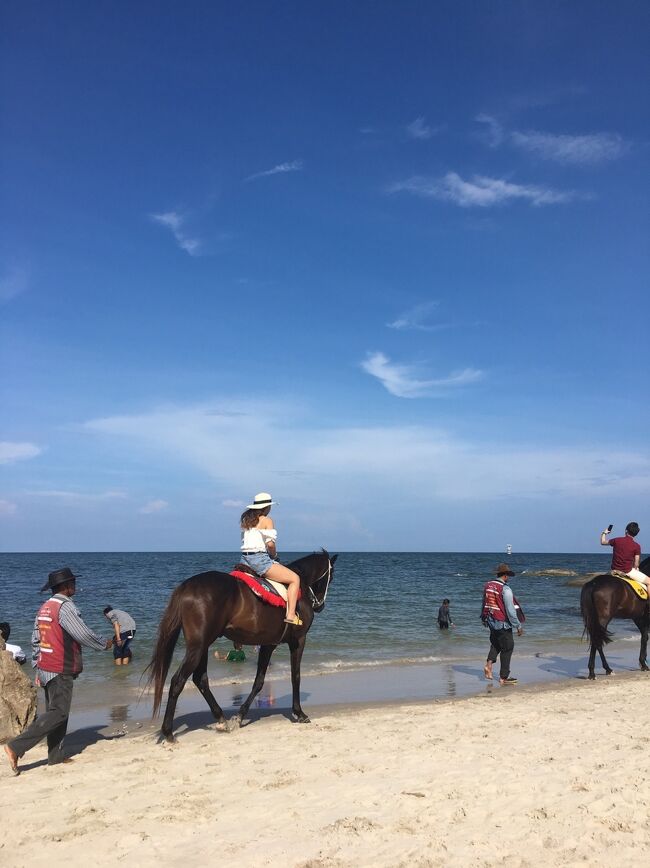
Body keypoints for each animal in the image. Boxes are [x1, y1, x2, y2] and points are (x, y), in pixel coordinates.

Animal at [144, 552, 334, 744]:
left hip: (202, 646)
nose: (320, 605)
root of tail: (186, 586)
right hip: (197, 647)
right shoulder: (298, 641)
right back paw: (168, 731)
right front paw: (299, 713)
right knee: (178, 681)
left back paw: (221, 719)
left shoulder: (268, 644)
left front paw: (239, 716)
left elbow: (259, 682)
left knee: (200, 679)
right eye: (331, 577)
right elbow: (295, 676)